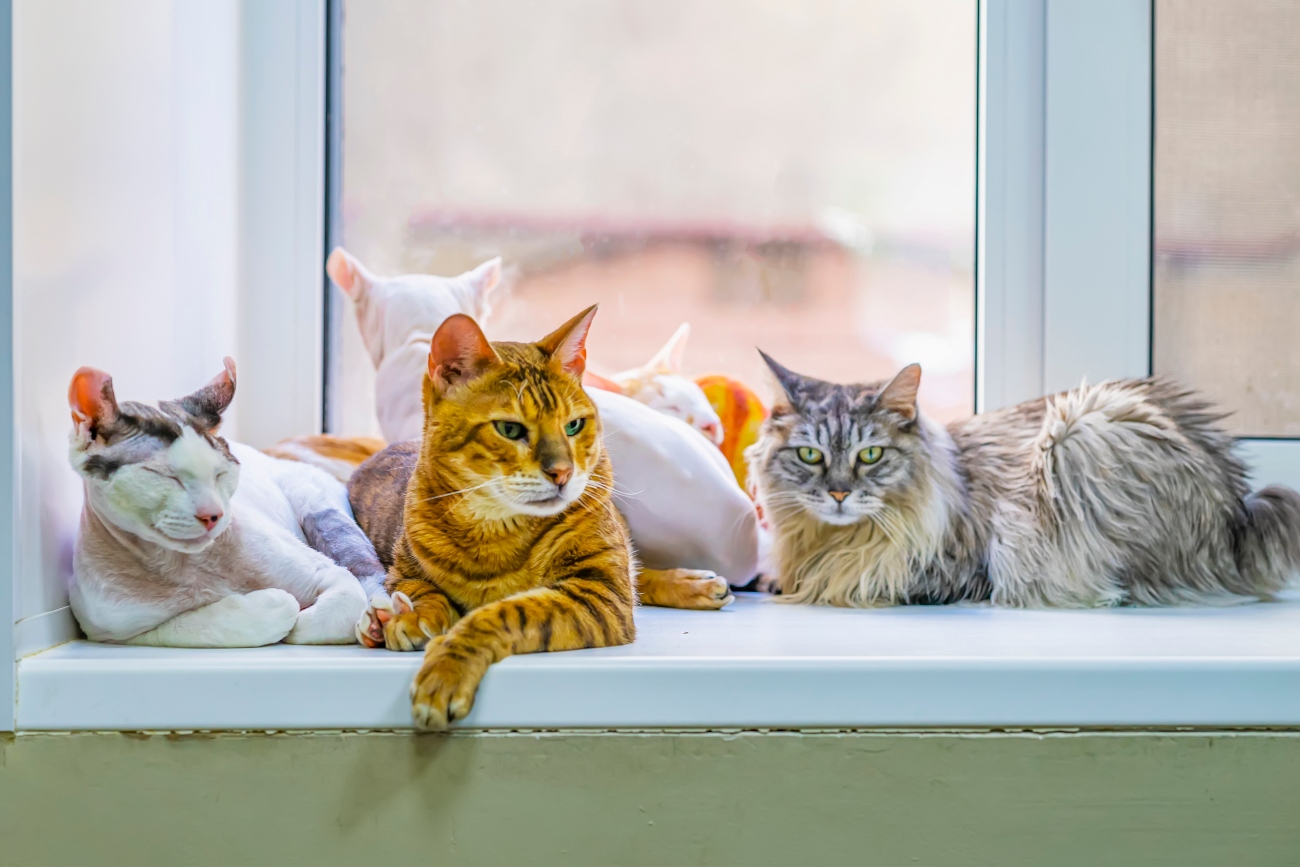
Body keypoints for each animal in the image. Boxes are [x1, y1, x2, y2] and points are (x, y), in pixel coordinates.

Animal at [69, 356, 384, 647]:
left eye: (220, 473)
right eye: (166, 476)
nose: (213, 515)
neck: (185, 566)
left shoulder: (332, 575)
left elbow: (329, 614)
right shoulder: (114, 633)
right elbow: (209, 625)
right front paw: (268, 603)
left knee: (369, 574)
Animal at [345, 308, 733, 727]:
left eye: (574, 425)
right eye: (509, 428)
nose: (562, 473)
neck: (497, 529)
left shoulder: (600, 594)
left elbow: (506, 614)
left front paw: (449, 665)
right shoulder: (405, 570)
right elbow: (422, 590)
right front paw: (412, 616)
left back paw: (693, 583)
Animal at [748, 356, 1300, 608]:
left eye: (870, 455)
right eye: (810, 455)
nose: (839, 494)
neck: (832, 541)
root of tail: (1241, 507)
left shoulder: (953, 568)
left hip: (1078, 432)